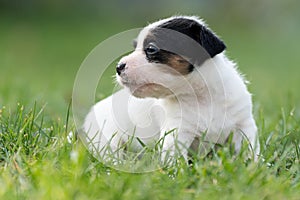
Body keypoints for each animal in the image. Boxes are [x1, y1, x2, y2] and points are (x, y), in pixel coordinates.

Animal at [82, 15, 260, 162]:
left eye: (151, 49)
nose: (118, 67)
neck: (202, 97)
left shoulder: (244, 127)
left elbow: (250, 152)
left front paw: (252, 166)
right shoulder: (176, 133)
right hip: (108, 142)